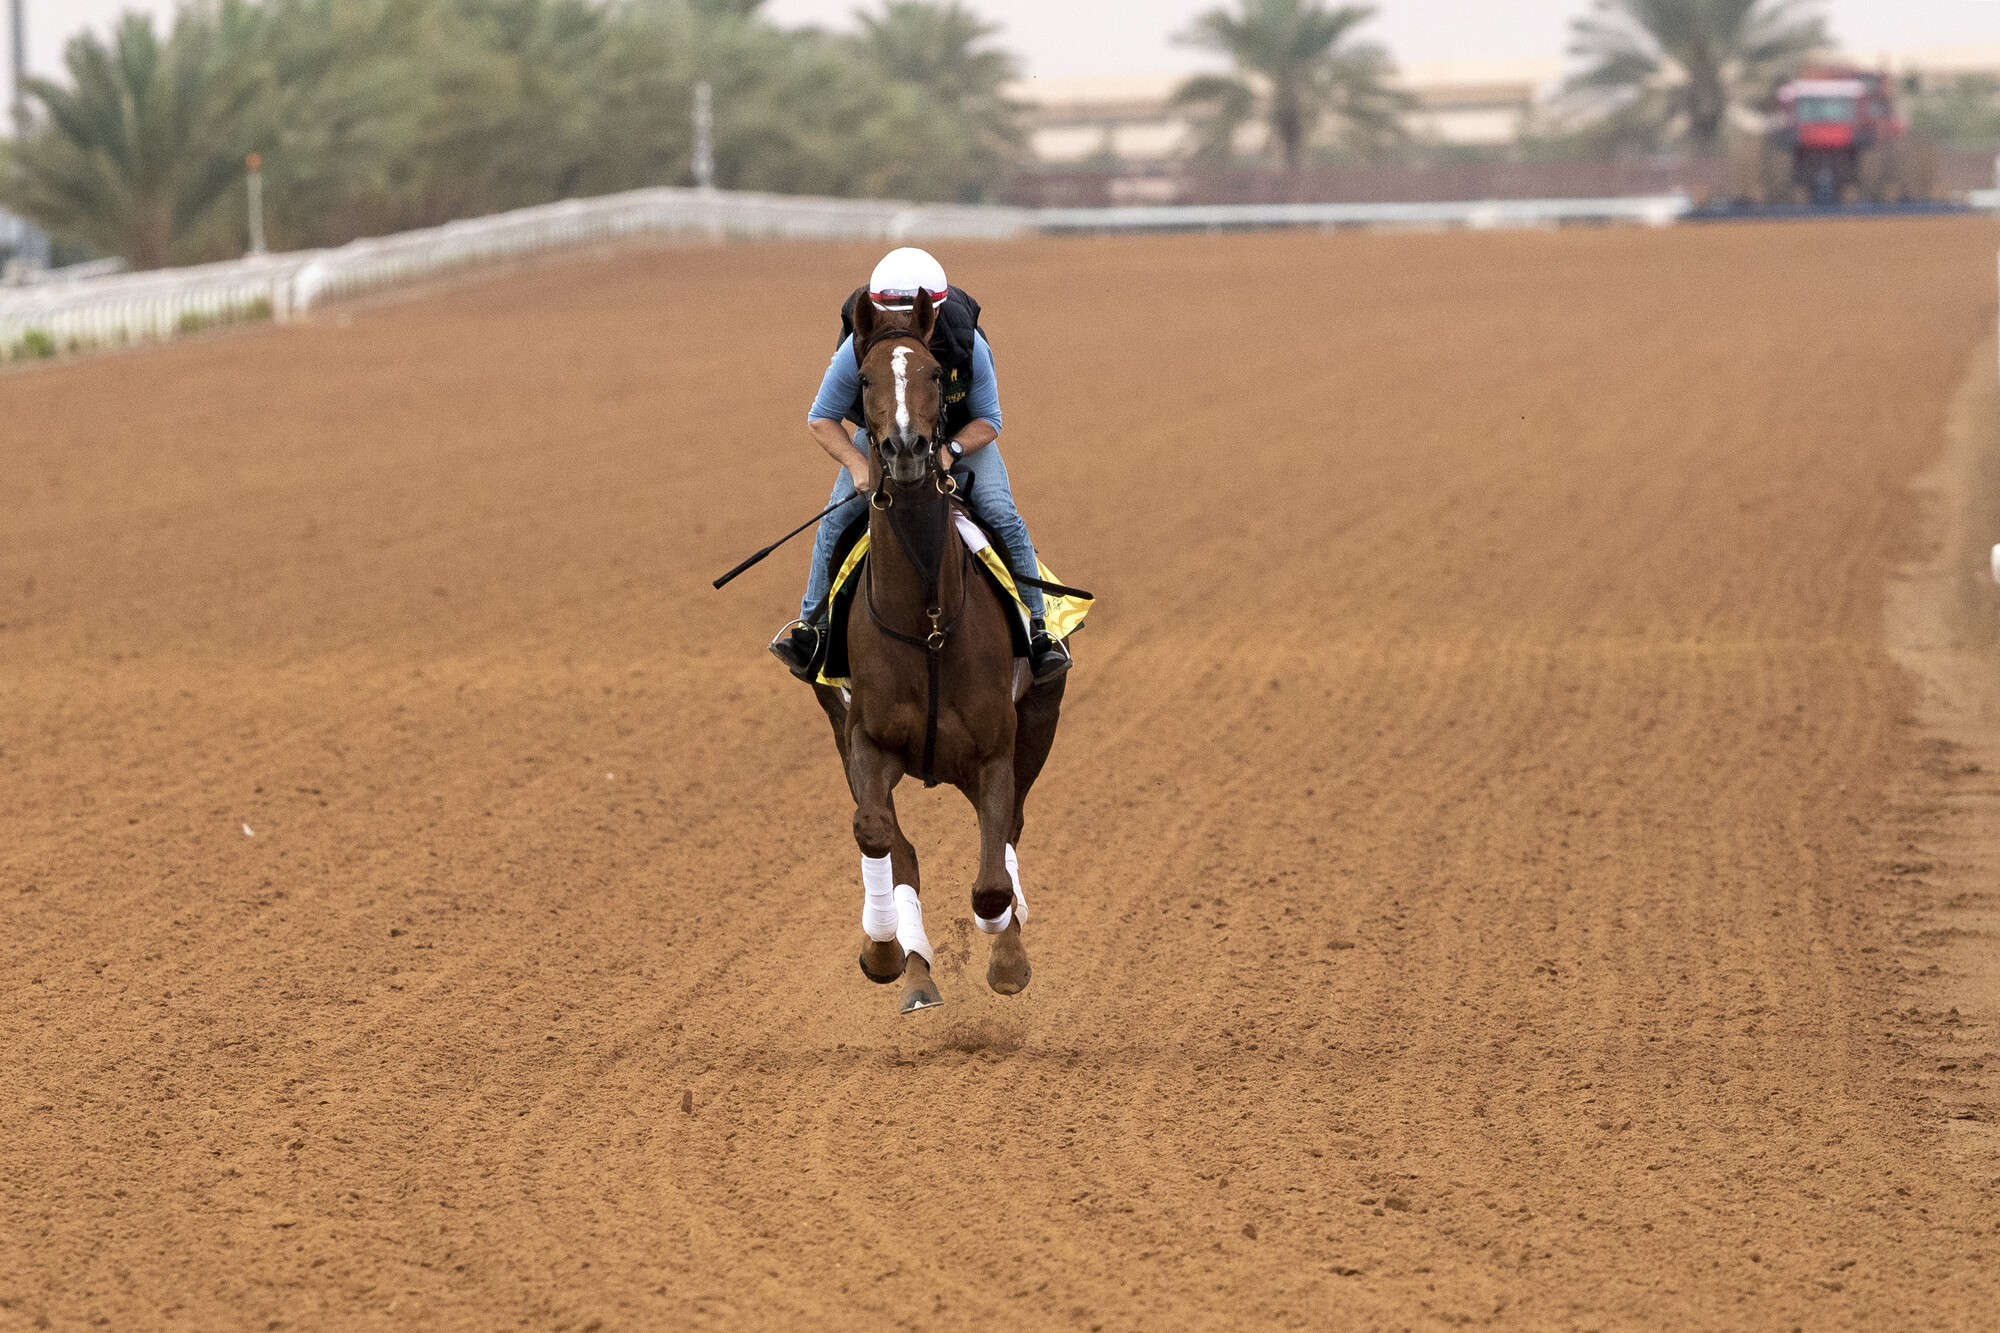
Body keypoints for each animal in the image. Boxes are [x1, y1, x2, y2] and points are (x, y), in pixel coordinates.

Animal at [808, 288, 1072, 1008]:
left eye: (932, 373)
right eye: (865, 379)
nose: (904, 448)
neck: (925, 618)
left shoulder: (995, 749)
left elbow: (991, 881)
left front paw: (1007, 955)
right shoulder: (863, 738)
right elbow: (878, 835)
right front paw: (884, 950)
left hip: (1039, 720)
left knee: (1008, 836)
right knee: (901, 850)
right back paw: (918, 967)